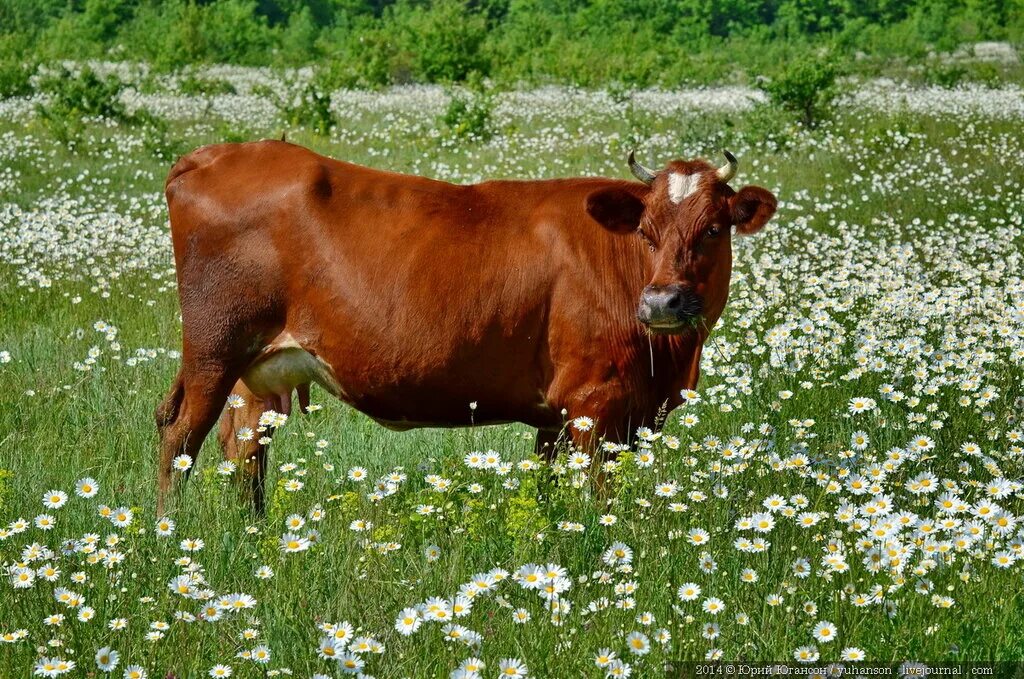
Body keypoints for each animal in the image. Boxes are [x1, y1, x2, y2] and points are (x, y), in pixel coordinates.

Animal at [155, 143, 770, 516]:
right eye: (645, 230)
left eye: (713, 229)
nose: (663, 300)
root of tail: (216, 154)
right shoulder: (597, 404)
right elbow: (598, 498)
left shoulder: (564, 414)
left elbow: (546, 487)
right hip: (213, 353)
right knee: (180, 436)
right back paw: (168, 533)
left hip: (257, 371)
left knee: (245, 448)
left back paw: (255, 532)